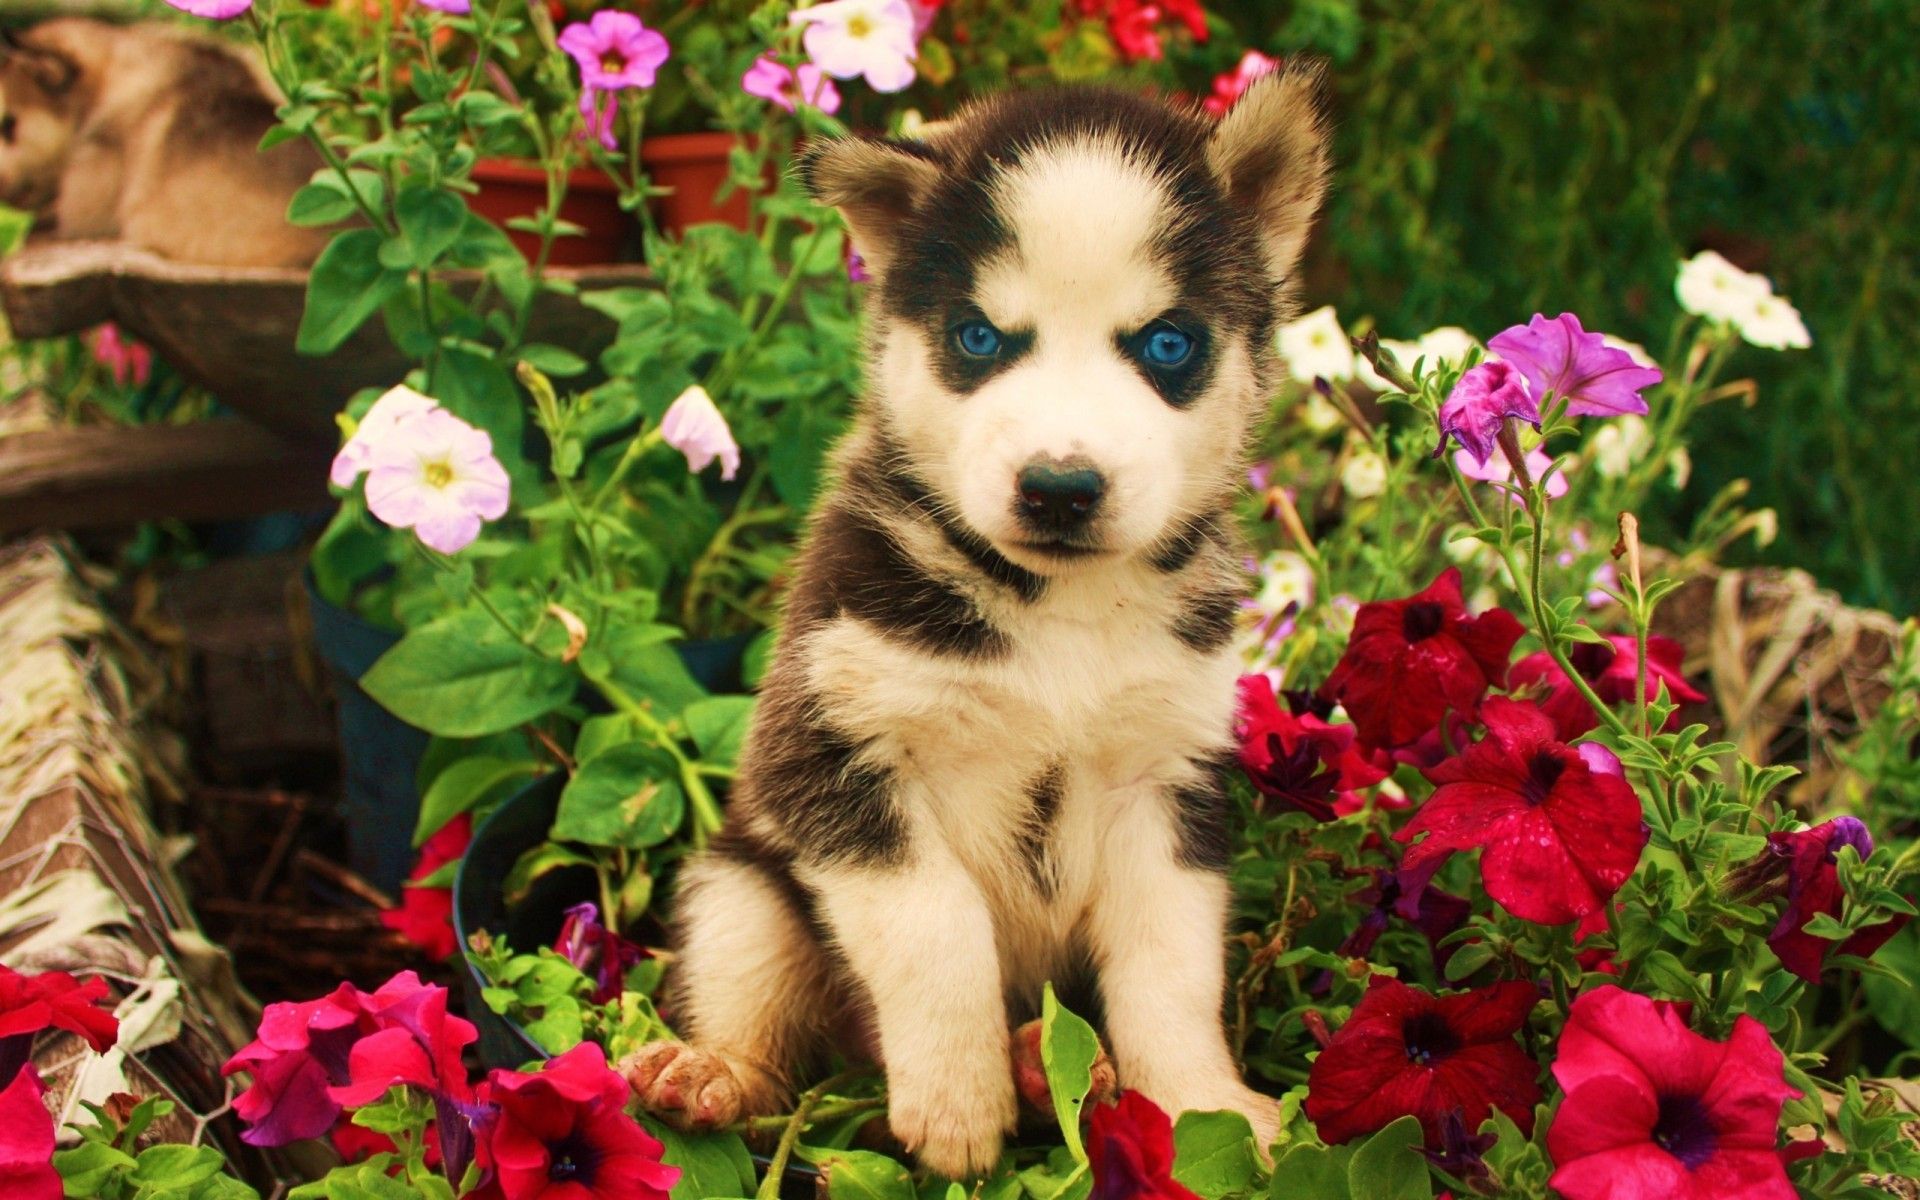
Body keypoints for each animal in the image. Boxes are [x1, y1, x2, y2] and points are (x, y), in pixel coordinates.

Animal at [622, 70, 1328, 1175]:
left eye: (1167, 343)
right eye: (978, 339)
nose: (1060, 487)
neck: (1060, 618)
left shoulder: (1168, 785)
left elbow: (1171, 969)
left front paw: (1204, 1104)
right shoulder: (833, 751)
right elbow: (937, 921)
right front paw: (957, 1099)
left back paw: (1046, 1067)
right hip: (738, 883)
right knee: (762, 1009)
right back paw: (716, 1072)